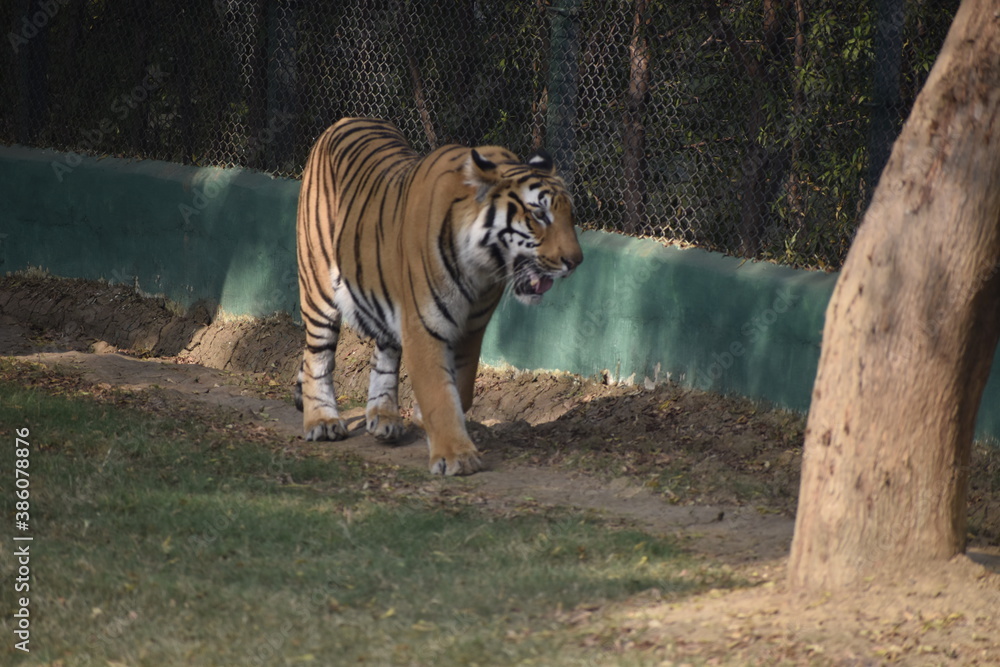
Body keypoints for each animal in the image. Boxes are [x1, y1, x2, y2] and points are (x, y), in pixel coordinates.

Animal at [294, 117, 583, 475]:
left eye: (570, 215)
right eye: (540, 215)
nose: (576, 260)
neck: (480, 268)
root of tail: (344, 121)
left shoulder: (472, 328)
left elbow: (461, 386)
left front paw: (427, 419)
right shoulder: (423, 322)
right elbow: (437, 389)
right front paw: (456, 456)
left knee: (384, 353)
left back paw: (384, 418)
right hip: (318, 287)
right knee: (317, 356)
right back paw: (322, 421)